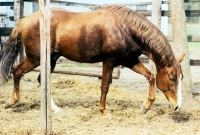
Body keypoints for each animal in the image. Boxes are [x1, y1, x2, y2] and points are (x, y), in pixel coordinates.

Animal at [0, 4, 184, 115]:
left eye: (180, 78)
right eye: (172, 78)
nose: (177, 106)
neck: (125, 28)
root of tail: (24, 20)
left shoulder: (129, 61)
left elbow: (151, 76)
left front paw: (145, 106)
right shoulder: (109, 61)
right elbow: (104, 86)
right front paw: (103, 111)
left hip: (50, 60)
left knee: (41, 80)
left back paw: (55, 109)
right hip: (35, 59)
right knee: (17, 71)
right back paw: (11, 101)